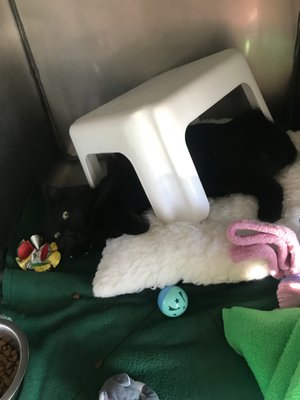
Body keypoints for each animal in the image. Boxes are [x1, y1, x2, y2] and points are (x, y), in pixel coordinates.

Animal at [41, 108, 296, 260]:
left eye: (65, 214)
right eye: (56, 236)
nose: (67, 234)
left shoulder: (118, 186)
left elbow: (117, 213)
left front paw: (137, 225)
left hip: (231, 172)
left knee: (273, 185)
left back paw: (269, 215)